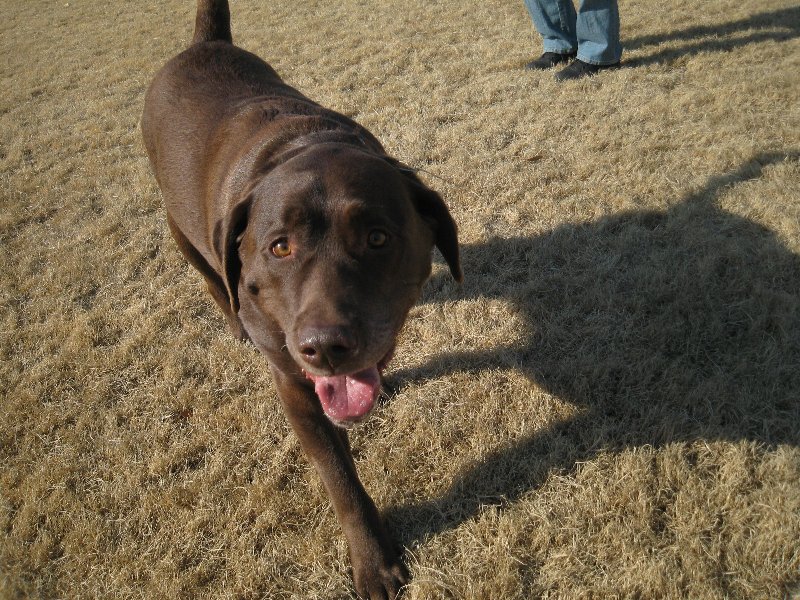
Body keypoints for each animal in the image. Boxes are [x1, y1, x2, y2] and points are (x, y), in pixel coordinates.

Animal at [141, 1, 461, 597]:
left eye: (377, 238)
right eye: (279, 246)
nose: (325, 347)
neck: (301, 144)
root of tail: (203, 44)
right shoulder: (293, 382)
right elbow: (339, 479)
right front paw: (373, 562)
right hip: (180, 230)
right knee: (211, 276)